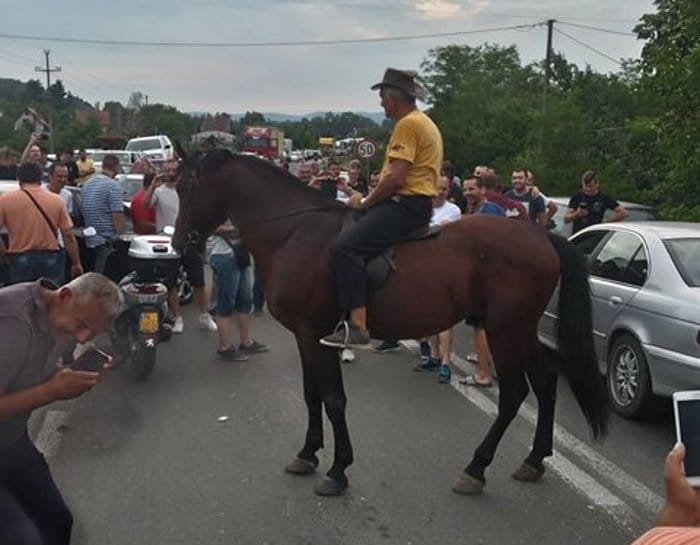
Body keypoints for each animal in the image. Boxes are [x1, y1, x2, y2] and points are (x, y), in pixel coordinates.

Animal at [174, 149, 608, 498]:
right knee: (546, 380)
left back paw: (475, 469)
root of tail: (541, 236)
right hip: (520, 329)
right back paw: (534, 460)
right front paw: (308, 454)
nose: (179, 243)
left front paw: (337, 469)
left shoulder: (315, 333)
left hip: (503, 330)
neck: (294, 232)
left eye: (187, 187)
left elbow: (332, 399)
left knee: (515, 393)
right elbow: (311, 395)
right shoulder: (305, 334)